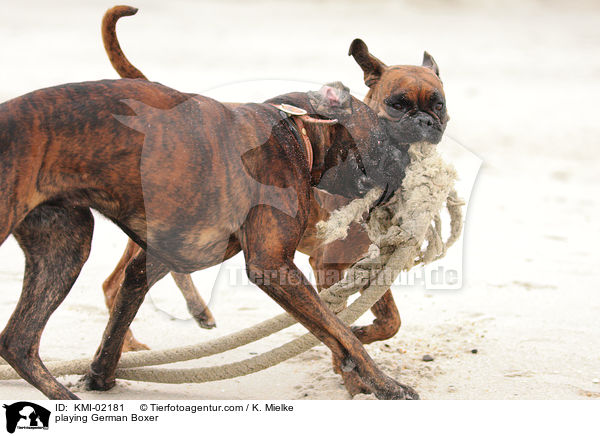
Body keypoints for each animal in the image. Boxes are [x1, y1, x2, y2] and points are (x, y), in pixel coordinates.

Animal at [0, 63, 414, 398]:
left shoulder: (153, 261)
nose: (408, 161)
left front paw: (100, 375)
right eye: (383, 136)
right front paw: (387, 386)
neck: (296, 133)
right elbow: (341, 333)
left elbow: (117, 322)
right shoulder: (273, 267)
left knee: (18, 340)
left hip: (64, 247)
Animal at [99, 8, 446, 386]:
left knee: (122, 281)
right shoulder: (326, 264)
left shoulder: (363, 264)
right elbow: (339, 322)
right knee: (121, 282)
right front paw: (354, 373)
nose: (425, 121)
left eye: (439, 105)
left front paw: (362, 338)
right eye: (397, 105)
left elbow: (389, 321)